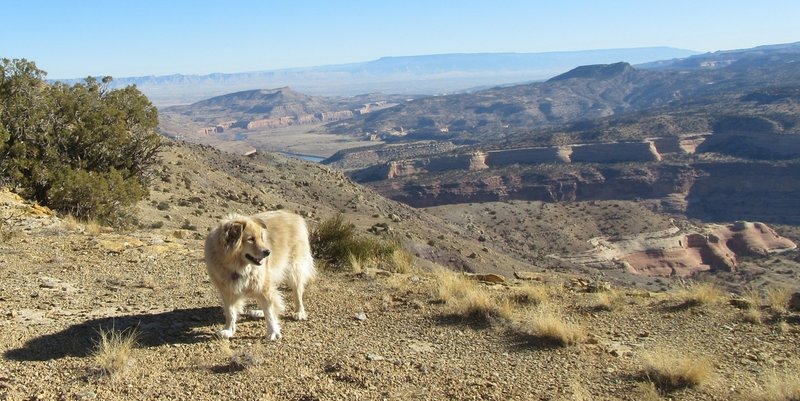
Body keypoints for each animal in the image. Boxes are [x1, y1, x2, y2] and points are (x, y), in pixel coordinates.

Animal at [205, 211, 314, 340]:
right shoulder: (226, 291)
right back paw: (259, 311)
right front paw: (229, 330)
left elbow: (270, 311)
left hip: (294, 269)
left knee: (297, 292)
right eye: (250, 239)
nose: (268, 252)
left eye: (261, 238)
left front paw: (272, 332)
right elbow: (230, 312)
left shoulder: (262, 285)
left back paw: (299, 312)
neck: (236, 266)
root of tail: (292, 214)